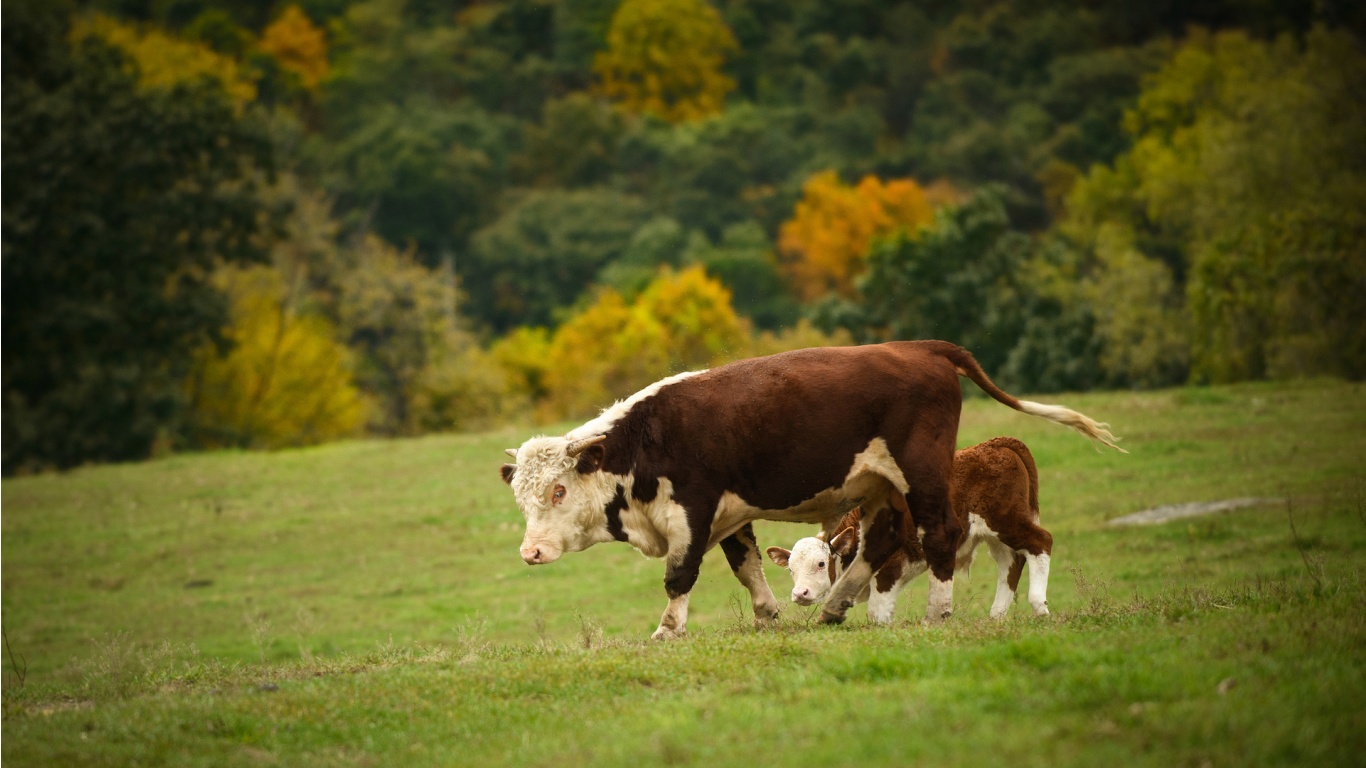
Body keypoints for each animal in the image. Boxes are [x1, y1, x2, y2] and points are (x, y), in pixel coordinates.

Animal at [765, 436, 1052, 624]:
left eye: (821, 563)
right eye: (790, 569)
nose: (800, 594)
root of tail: (996, 444)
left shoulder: (889, 570)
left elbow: (876, 614)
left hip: (1006, 521)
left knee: (1041, 543)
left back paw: (1039, 606)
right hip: (994, 534)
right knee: (1010, 564)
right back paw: (996, 616)